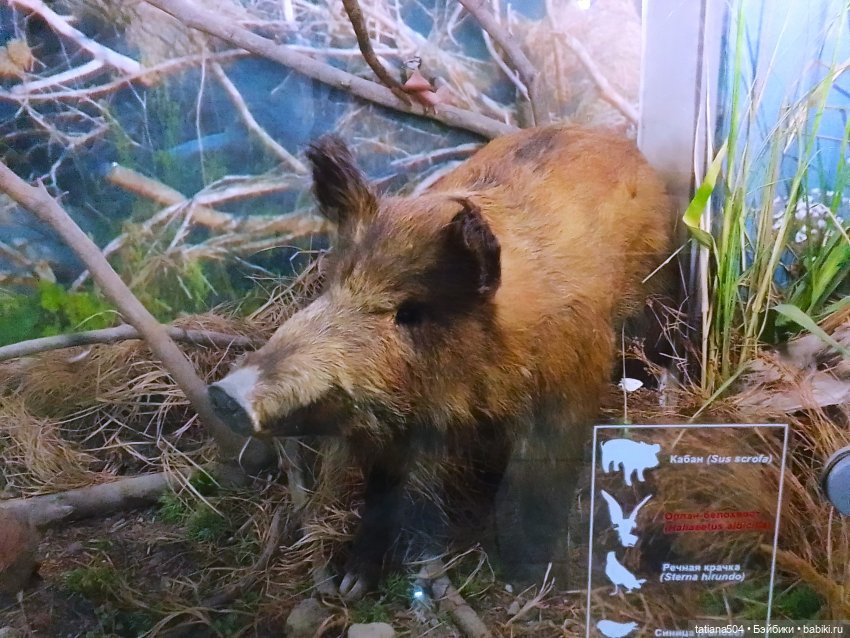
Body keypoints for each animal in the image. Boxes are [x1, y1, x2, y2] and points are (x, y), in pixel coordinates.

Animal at [208, 125, 674, 597]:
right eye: (331, 285)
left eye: (410, 313)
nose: (225, 393)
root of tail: (617, 137)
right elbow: (382, 494)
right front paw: (351, 586)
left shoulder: (564, 397)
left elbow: (534, 493)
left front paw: (534, 585)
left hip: (651, 295)